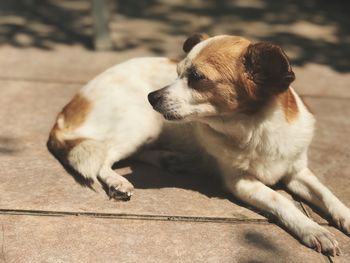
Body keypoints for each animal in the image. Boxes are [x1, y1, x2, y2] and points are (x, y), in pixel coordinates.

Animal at [47, 34, 348, 256]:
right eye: (177, 73)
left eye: (197, 78)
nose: (151, 96)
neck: (257, 130)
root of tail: (68, 108)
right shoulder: (241, 183)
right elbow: (281, 200)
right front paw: (314, 230)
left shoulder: (297, 171)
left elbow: (328, 195)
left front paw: (344, 217)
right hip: (142, 124)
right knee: (102, 159)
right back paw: (117, 181)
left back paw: (172, 160)